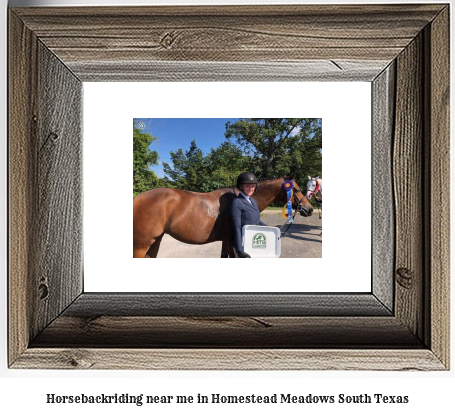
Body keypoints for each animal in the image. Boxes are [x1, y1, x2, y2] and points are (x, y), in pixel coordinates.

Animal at [133, 175, 314, 258]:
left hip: (155, 242)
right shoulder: (232, 240)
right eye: (297, 189)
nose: (310, 209)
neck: (240, 197)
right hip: (140, 246)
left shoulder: (225, 240)